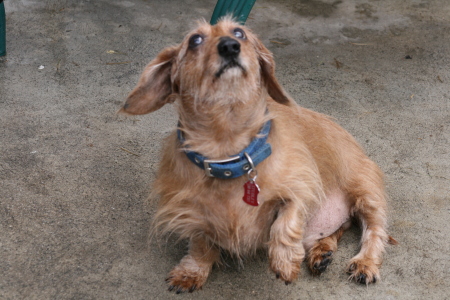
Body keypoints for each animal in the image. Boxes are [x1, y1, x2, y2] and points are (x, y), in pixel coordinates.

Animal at [121, 17, 396, 292]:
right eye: (195, 40)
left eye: (239, 33)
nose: (230, 46)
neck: (229, 153)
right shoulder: (192, 212)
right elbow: (200, 245)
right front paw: (191, 272)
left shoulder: (303, 183)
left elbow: (286, 222)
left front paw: (284, 261)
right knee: (337, 229)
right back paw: (321, 252)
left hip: (365, 191)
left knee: (374, 230)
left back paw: (364, 263)